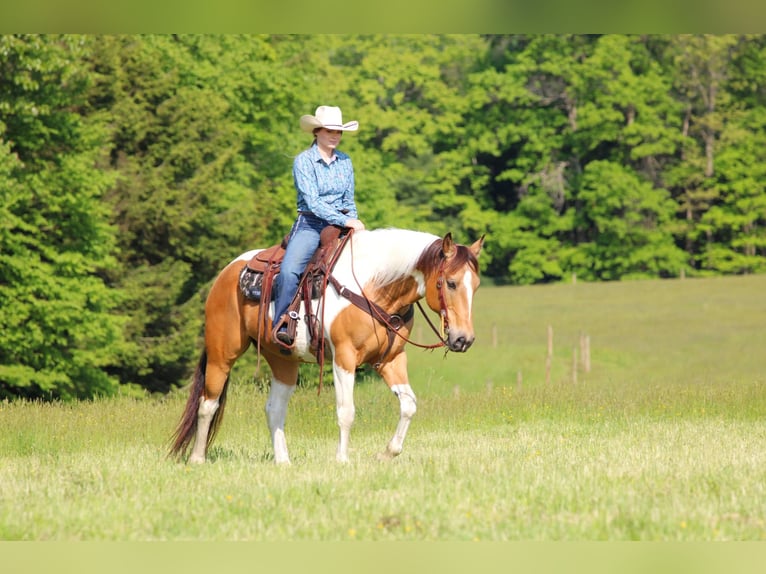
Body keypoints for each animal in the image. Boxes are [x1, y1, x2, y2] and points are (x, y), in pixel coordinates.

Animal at [169, 227, 484, 464]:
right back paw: (197, 459)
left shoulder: (391, 360)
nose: (464, 339)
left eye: (477, 286)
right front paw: (342, 459)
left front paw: (387, 453)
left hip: (283, 360)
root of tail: (227, 272)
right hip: (222, 353)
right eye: (451, 283)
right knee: (207, 404)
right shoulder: (343, 358)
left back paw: (283, 461)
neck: (373, 286)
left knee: (274, 409)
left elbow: (408, 405)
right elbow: (346, 411)